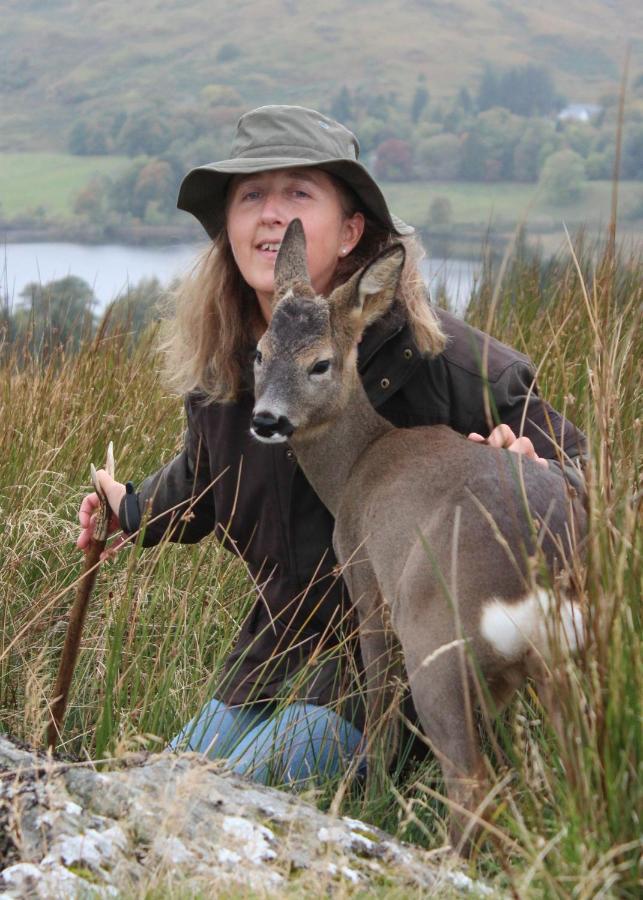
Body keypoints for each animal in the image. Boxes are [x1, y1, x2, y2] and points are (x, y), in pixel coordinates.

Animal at [249, 218, 588, 852]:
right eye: (258, 352)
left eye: (320, 363)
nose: (266, 420)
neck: (358, 463)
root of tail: (542, 569)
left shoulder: (366, 580)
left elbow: (379, 704)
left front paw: (370, 790)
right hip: (566, 663)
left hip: (434, 638)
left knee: (469, 785)